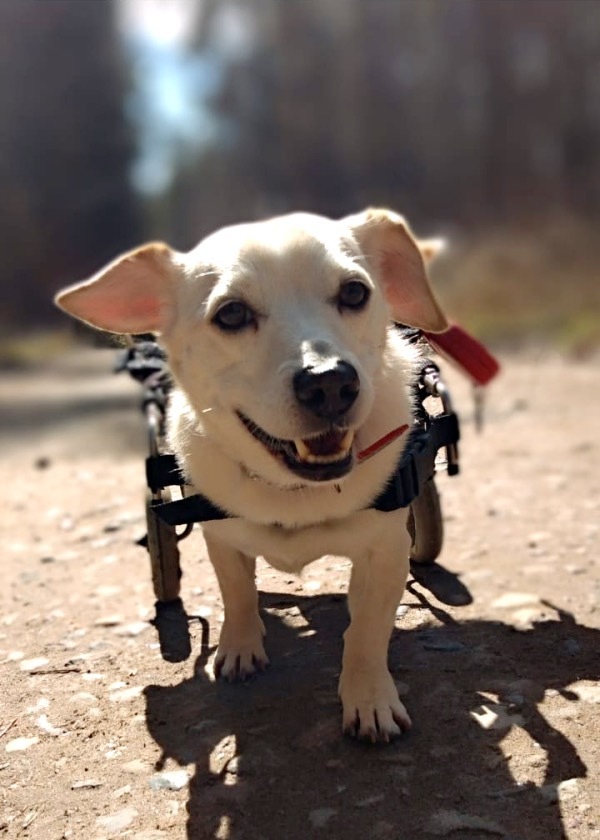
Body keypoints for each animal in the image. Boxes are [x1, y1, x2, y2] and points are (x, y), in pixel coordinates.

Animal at [56, 208, 448, 740]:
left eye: (354, 292)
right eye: (231, 314)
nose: (330, 383)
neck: (295, 488)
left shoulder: (385, 552)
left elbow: (366, 632)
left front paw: (368, 699)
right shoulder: (222, 537)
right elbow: (237, 592)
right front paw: (241, 646)